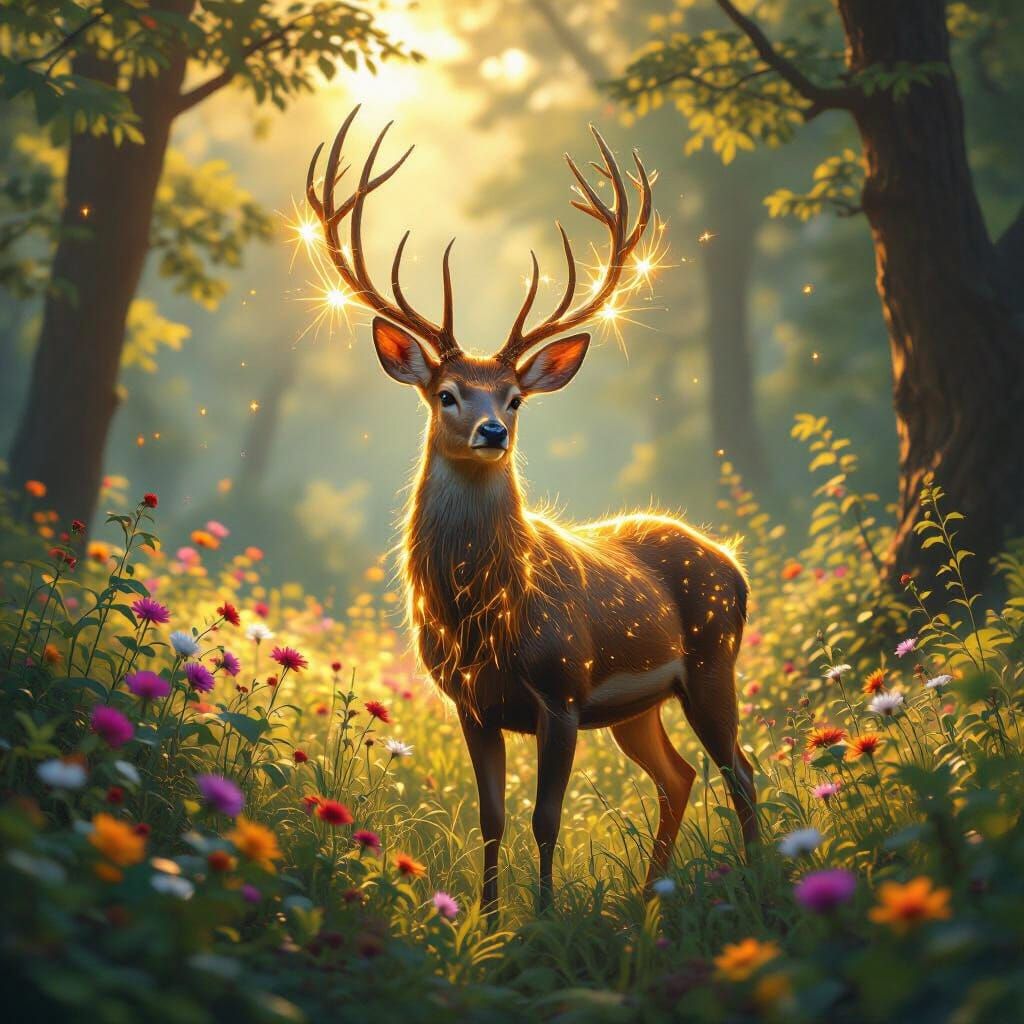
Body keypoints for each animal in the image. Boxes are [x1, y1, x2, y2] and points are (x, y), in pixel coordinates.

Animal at [306, 107, 758, 912]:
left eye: (515, 397)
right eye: (447, 393)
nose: (493, 431)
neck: (486, 618)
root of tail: (733, 564)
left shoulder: (563, 689)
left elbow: (547, 818)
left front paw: (544, 918)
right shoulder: (471, 703)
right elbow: (491, 817)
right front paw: (485, 920)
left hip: (712, 659)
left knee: (741, 771)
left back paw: (765, 883)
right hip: (642, 705)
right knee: (681, 776)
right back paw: (651, 900)